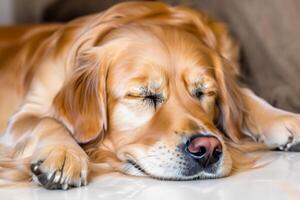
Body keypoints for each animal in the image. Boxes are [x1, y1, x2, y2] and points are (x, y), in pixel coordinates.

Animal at [0, 1, 300, 189]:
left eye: (204, 92)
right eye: (143, 96)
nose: (207, 149)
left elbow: (246, 94)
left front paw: (283, 119)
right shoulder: (24, 114)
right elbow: (47, 120)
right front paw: (64, 155)